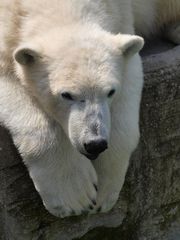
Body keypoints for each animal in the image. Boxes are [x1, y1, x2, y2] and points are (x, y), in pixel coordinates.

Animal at [0, 0, 179, 218]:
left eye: (110, 91)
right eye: (66, 94)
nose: (95, 143)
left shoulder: (122, 16)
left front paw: (103, 191)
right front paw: (75, 196)